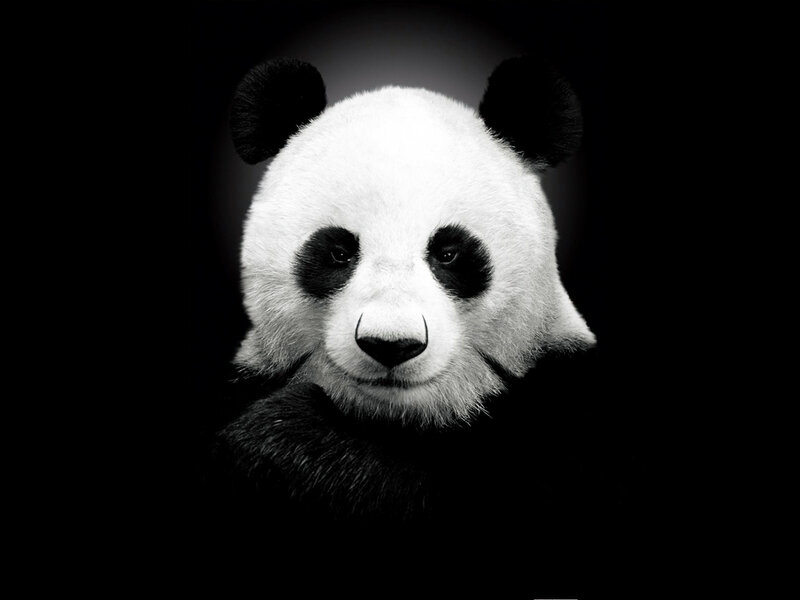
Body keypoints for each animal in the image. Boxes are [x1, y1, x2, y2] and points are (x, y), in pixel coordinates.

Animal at [210, 57, 624, 549]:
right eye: (339, 252)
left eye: (448, 253)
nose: (391, 344)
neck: (399, 419)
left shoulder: (566, 408)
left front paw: (286, 439)